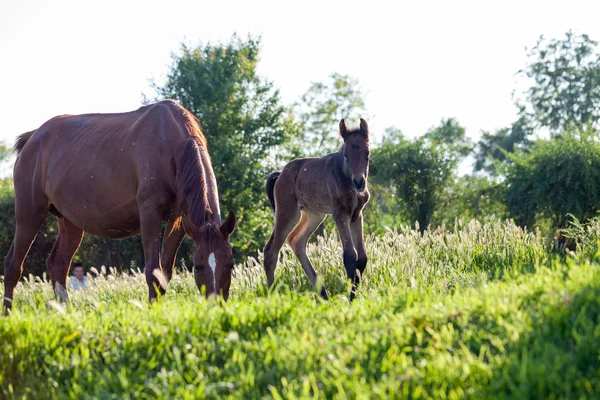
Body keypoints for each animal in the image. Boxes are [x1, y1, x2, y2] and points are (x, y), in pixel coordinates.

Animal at [3, 98, 237, 314]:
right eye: (197, 266)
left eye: (231, 263)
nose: (217, 306)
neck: (169, 145)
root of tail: (32, 137)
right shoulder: (150, 214)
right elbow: (153, 270)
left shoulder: (179, 221)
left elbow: (165, 272)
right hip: (30, 213)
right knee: (13, 264)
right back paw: (7, 313)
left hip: (70, 221)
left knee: (58, 264)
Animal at [264, 119, 368, 300]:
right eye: (346, 156)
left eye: (367, 153)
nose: (359, 183)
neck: (345, 175)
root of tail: (280, 174)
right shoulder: (340, 213)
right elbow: (350, 255)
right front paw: (350, 301)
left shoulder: (356, 214)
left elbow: (361, 258)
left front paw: (354, 296)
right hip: (287, 212)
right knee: (271, 251)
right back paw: (273, 298)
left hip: (314, 215)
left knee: (296, 241)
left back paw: (323, 295)